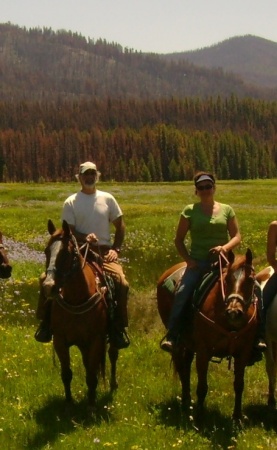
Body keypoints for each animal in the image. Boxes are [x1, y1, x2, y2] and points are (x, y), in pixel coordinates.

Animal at [42, 220, 117, 414]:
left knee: (113, 355)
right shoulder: (60, 340)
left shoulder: (96, 339)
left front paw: (91, 406)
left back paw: (113, 385)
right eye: (46, 251)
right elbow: (67, 373)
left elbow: (91, 374)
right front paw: (69, 403)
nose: (49, 286)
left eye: (66, 253)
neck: (76, 299)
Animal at [157, 250, 258, 422]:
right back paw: (186, 403)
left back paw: (187, 402)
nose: (234, 312)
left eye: (250, 280)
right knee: (182, 367)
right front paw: (199, 418)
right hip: (179, 342)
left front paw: (237, 417)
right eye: (226, 279)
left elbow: (239, 385)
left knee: (186, 365)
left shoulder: (242, 353)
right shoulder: (203, 352)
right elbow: (202, 386)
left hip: (189, 343)